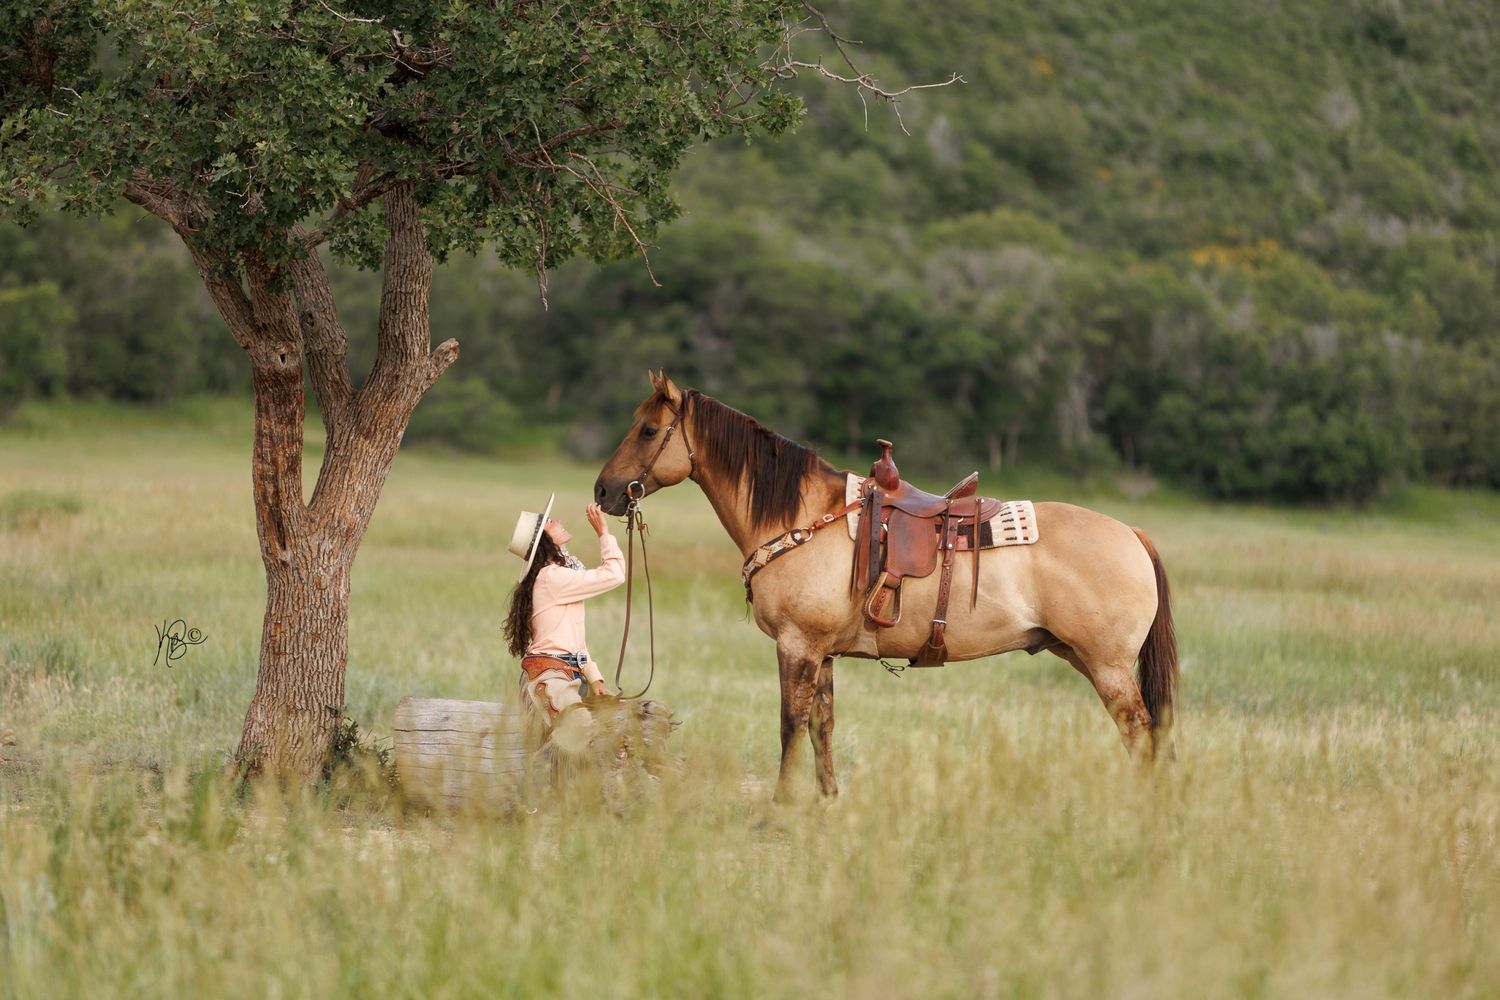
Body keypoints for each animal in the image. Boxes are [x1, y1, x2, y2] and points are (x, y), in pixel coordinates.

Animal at [594, 372, 1177, 800]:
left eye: (648, 431)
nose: (603, 490)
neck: (802, 518)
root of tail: (1133, 533)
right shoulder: (822, 653)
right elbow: (821, 726)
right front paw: (826, 801)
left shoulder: (796, 646)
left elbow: (789, 725)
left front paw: (778, 808)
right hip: (1084, 657)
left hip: (1107, 667)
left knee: (1140, 734)